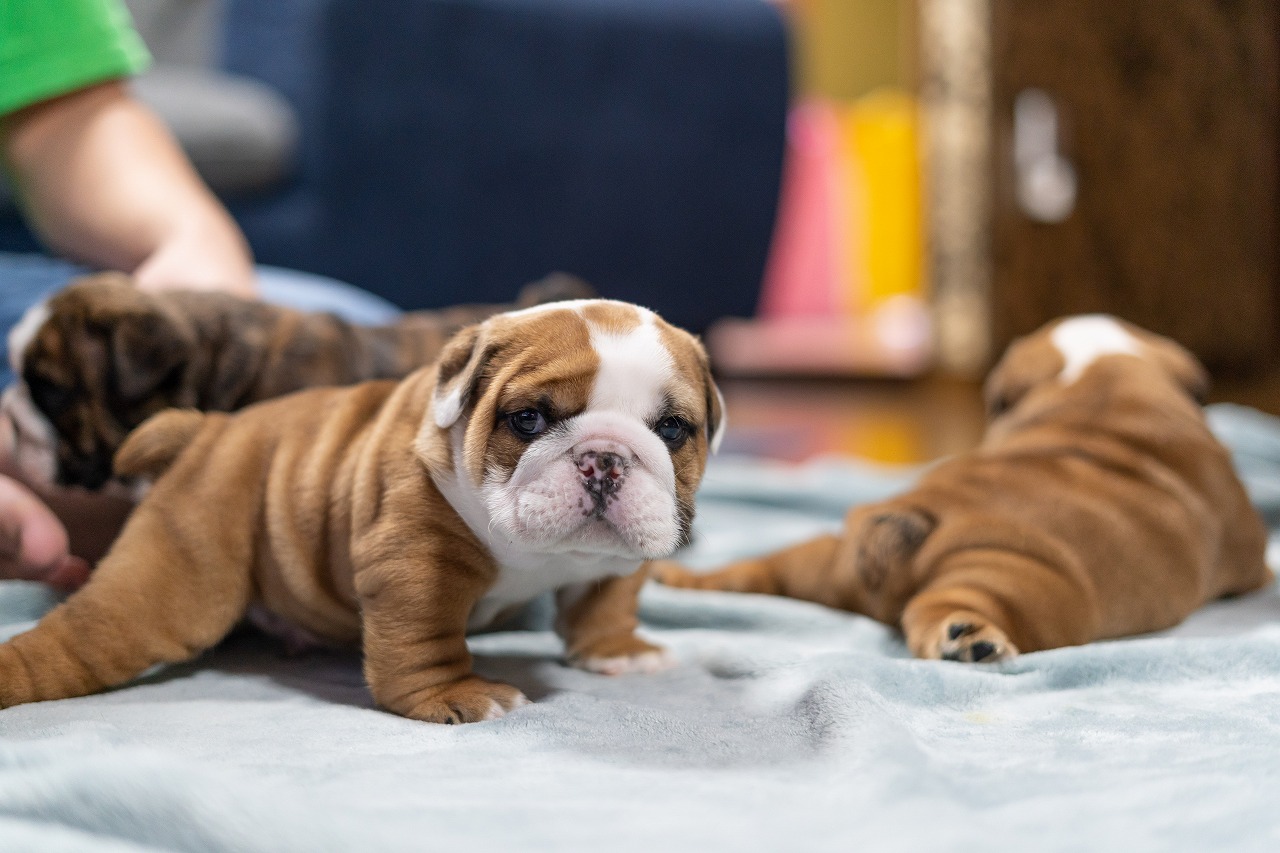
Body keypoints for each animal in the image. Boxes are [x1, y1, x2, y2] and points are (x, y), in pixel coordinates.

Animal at [0, 298, 727, 717]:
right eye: (528, 418)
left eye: (672, 430)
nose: (606, 457)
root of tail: (207, 430)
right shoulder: (416, 563)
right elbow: (425, 639)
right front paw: (452, 694)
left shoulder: (616, 560)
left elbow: (606, 599)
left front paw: (617, 651)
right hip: (174, 577)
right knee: (91, 634)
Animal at [660, 315, 1269, 660]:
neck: (1103, 379)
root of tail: (911, 518)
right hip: (1018, 579)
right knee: (945, 605)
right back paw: (970, 638)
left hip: (820, 558)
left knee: (759, 573)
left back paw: (687, 581)